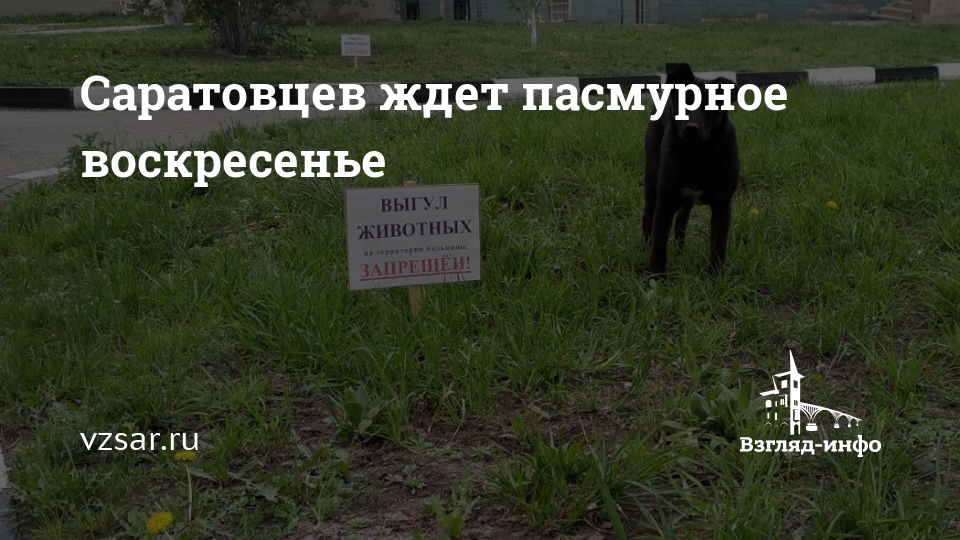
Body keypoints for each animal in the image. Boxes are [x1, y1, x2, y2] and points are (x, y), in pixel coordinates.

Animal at [642, 63, 740, 274]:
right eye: (684, 102)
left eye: (711, 106)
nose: (691, 128)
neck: (698, 154)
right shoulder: (666, 201)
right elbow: (659, 246)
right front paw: (656, 276)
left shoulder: (722, 205)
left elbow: (718, 247)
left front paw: (715, 277)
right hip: (652, 178)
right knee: (648, 215)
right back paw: (644, 246)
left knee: (681, 220)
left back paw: (680, 252)